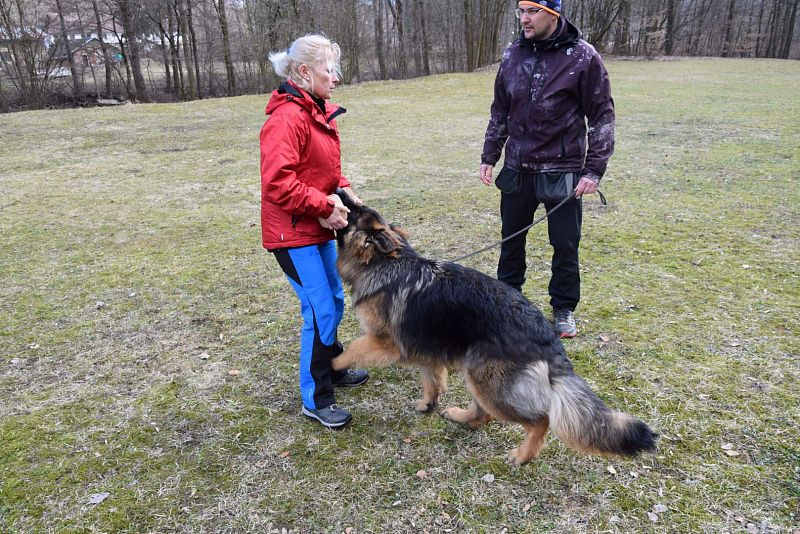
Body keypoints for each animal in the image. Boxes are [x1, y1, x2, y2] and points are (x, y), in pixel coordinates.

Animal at [332, 191, 656, 466]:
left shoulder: (383, 341)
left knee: (539, 420)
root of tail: (549, 338)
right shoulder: (426, 349)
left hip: (486, 380)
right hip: (477, 372)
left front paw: (331, 364)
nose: (339, 190)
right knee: (482, 415)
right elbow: (431, 380)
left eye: (354, 211)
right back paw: (460, 416)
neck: (382, 263)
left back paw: (523, 455)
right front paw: (428, 404)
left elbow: (354, 348)